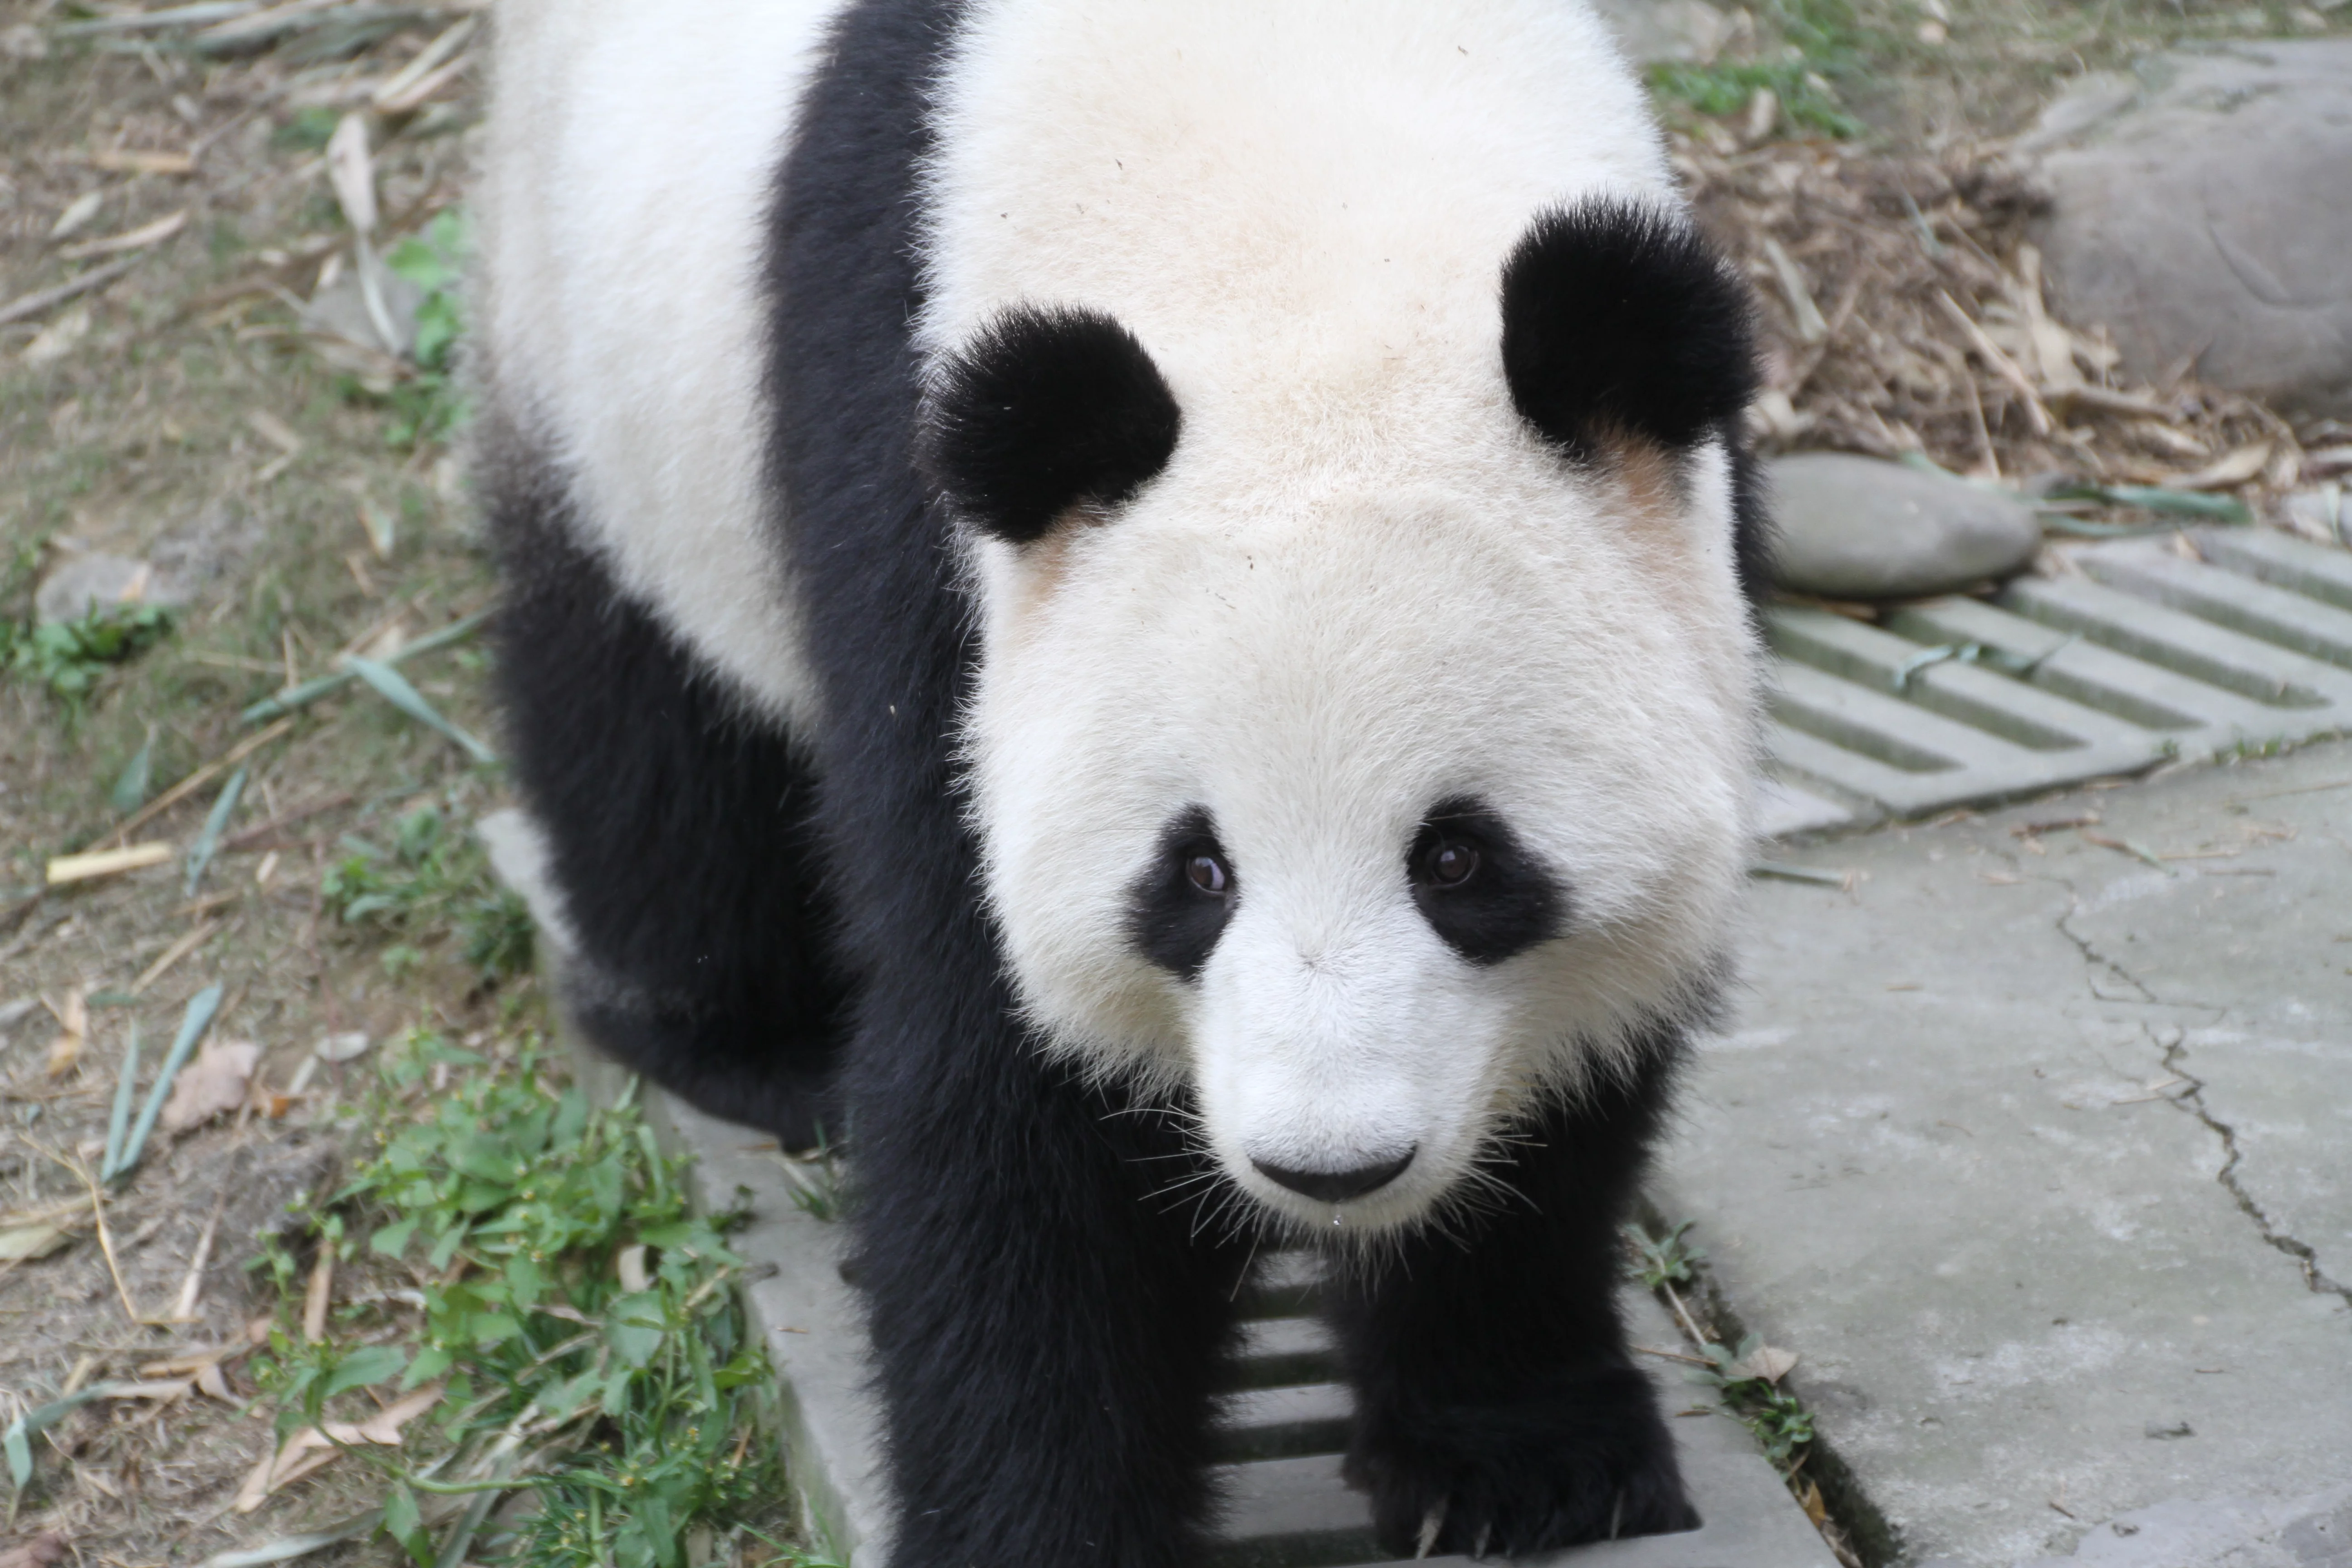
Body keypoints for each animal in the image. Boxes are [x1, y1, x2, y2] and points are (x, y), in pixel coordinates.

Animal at [475, 0, 1771, 1561]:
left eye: (1460, 860)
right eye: (1194, 873)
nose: (1330, 1168)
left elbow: (1569, 1083)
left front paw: (1523, 1459)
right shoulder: (936, 554)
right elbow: (1007, 1086)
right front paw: (1037, 1522)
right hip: (602, 360)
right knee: (655, 739)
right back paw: (746, 1040)